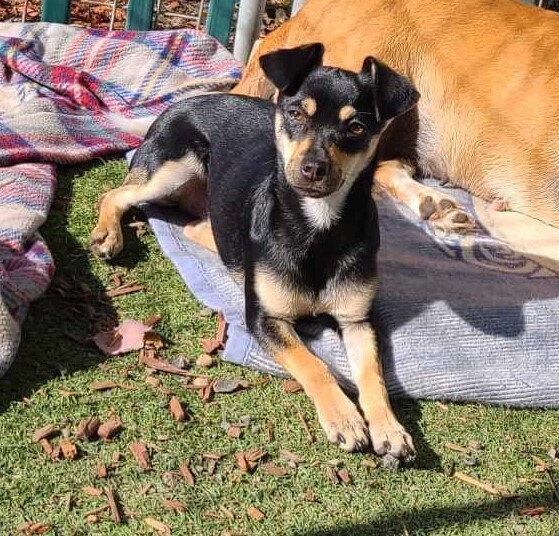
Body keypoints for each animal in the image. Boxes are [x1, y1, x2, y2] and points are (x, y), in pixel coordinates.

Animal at [91, 45, 420, 464]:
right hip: (172, 170)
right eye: (295, 114)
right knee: (116, 194)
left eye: (356, 128)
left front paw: (389, 428)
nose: (313, 168)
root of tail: (181, 103)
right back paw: (108, 234)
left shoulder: (358, 320)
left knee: (197, 227)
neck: (317, 226)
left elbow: (373, 374)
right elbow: (313, 364)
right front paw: (344, 418)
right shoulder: (265, 317)